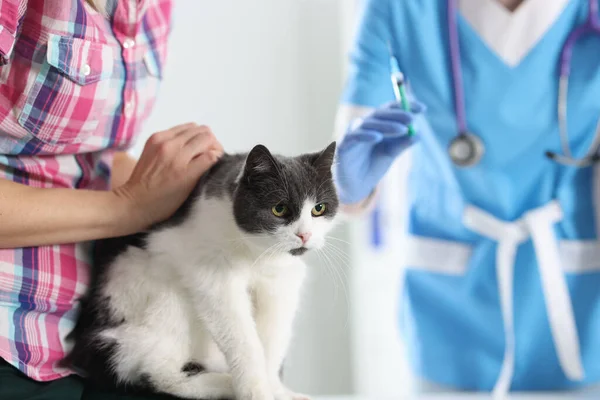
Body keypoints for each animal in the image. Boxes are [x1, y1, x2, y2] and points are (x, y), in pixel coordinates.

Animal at [63, 141, 342, 400]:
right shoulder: (213, 276)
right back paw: (224, 383)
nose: (305, 235)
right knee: (157, 371)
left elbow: (273, 340)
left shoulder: (279, 285)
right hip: (152, 292)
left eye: (318, 209)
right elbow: (243, 339)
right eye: (279, 209)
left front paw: (276, 390)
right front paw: (256, 392)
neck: (255, 254)